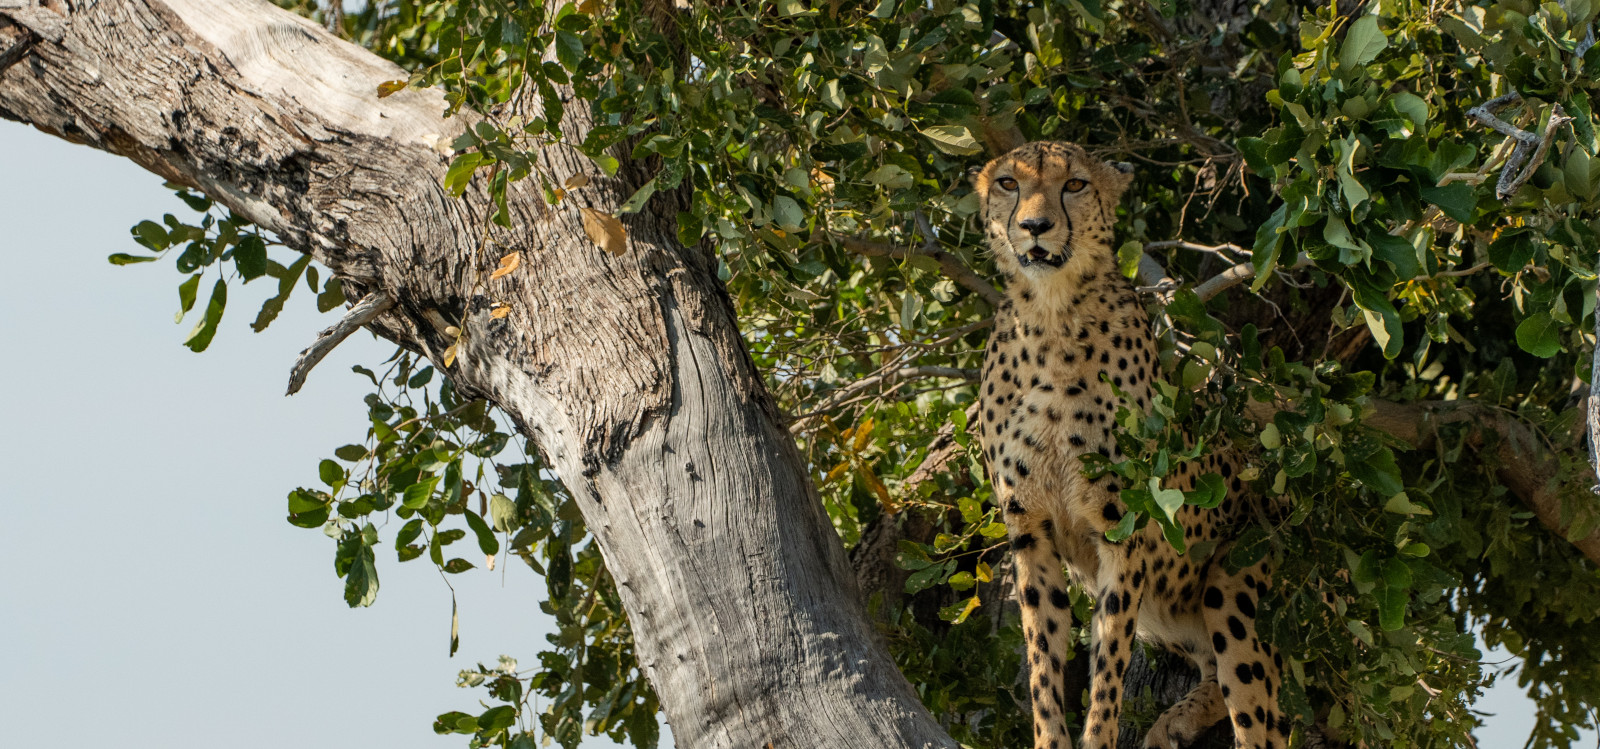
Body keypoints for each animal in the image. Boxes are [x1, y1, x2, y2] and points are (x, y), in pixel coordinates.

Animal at [970, 141, 1287, 749]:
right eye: (1007, 183)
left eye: (1073, 184)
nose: (1035, 226)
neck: (1051, 312)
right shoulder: (1030, 531)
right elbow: (1043, 659)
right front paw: (1050, 739)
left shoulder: (1124, 527)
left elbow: (1109, 663)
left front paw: (1097, 738)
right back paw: (1174, 722)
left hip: (1234, 581)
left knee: (1261, 698)